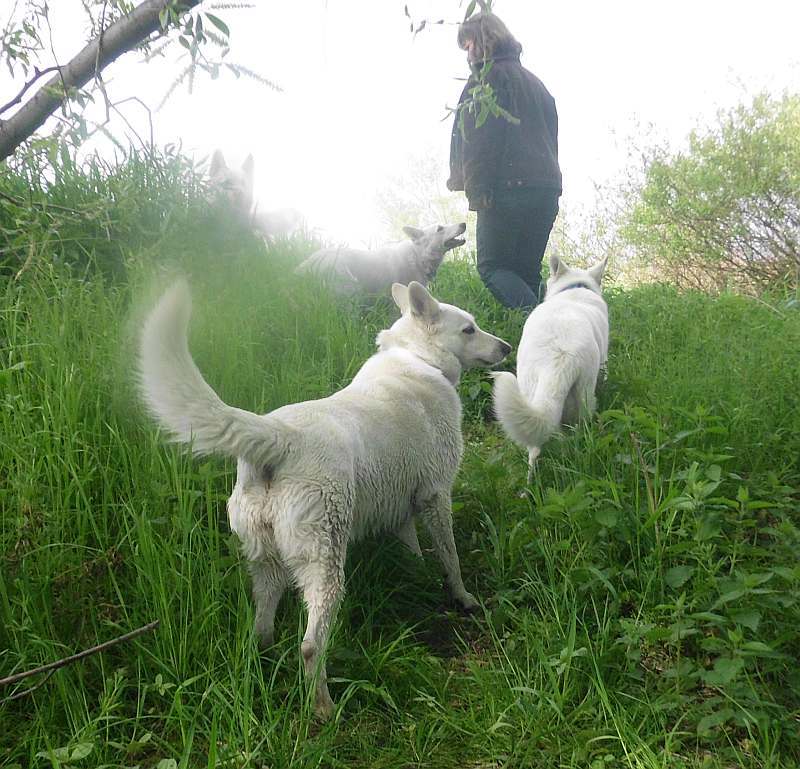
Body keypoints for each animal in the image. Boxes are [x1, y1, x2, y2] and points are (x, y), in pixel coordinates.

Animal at [138, 278, 510, 720]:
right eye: (469, 329)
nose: (507, 348)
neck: (416, 357)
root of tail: (279, 437)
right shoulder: (436, 496)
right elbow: (449, 558)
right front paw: (463, 598)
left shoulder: (401, 507)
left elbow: (413, 552)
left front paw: (417, 577)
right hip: (326, 564)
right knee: (311, 645)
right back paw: (324, 709)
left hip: (267, 563)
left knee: (262, 625)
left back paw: (265, 664)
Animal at [490, 252, 608, 480]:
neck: (575, 288)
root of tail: (558, 360)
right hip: (586, 396)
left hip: (530, 391)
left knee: (535, 446)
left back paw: (530, 483)